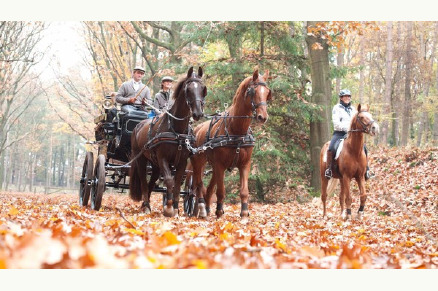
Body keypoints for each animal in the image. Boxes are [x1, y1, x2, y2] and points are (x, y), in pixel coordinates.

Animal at [128, 66, 207, 217]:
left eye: (203, 89)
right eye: (188, 89)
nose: (197, 113)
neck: (177, 130)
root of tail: (137, 126)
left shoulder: (182, 161)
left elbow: (177, 185)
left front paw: (175, 209)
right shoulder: (163, 158)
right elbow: (170, 181)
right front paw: (169, 208)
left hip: (155, 164)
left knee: (151, 182)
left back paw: (146, 205)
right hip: (141, 159)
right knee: (144, 182)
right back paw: (146, 206)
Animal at [191, 68, 270, 219]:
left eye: (267, 92)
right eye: (253, 91)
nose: (262, 117)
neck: (236, 131)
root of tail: (196, 129)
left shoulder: (245, 164)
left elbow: (244, 190)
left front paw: (244, 212)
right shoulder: (220, 165)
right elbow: (221, 191)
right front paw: (219, 211)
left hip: (214, 166)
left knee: (209, 188)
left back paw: (207, 208)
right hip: (199, 163)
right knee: (198, 184)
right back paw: (201, 210)